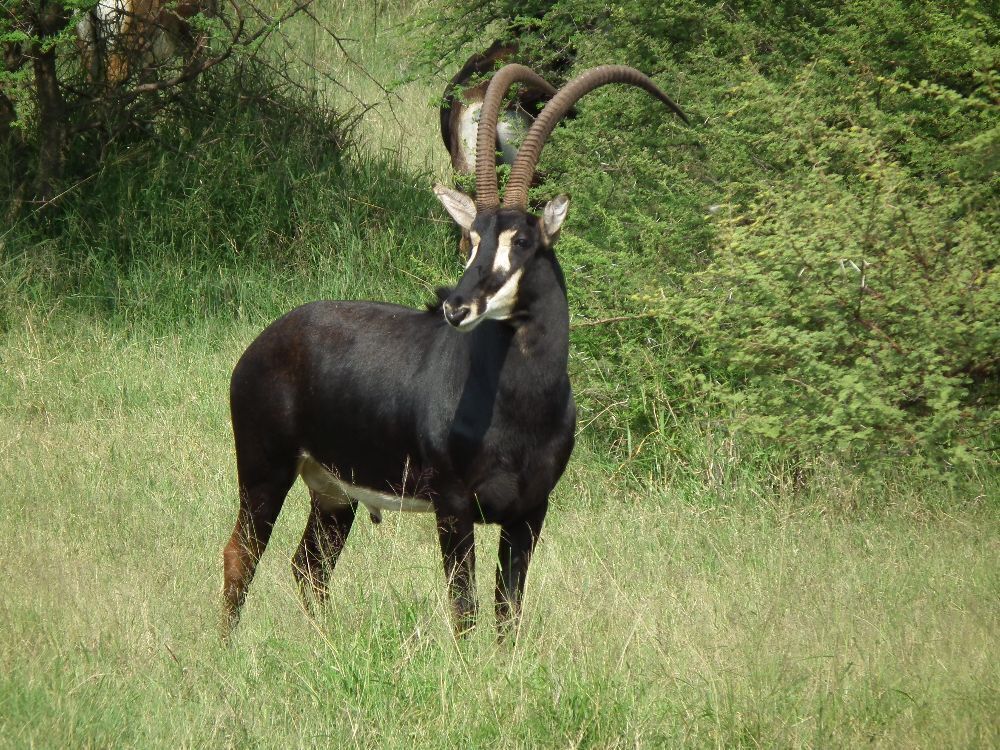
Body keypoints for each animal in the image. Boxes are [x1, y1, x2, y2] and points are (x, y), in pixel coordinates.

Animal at [222, 64, 689, 638]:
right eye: (472, 237)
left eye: (523, 241)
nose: (456, 306)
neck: (520, 409)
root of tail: (264, 342)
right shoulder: (453, 507)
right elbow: (465, 608)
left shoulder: (530, 512)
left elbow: (508, 610)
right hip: (265, 471)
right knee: (242, 556)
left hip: (333, 492)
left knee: (309, 566)